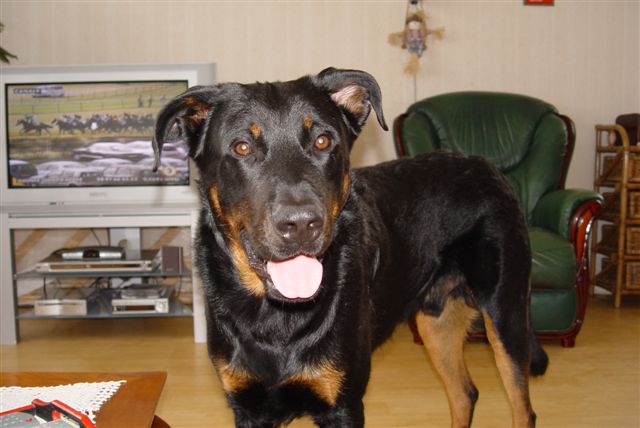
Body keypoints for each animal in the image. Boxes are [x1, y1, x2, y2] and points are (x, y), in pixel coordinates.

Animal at [153, 68, 548, 428]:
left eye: (323, 142)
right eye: (241, 147)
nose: (301, 224)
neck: (275, 318)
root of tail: (488, 167)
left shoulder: (343, 404)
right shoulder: (248, 406)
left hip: (505, 311)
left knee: (522, 408)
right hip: (437, 320)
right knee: (465, 393)